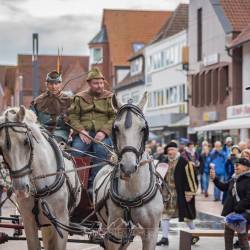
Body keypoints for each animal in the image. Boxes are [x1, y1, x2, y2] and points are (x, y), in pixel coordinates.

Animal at [94, 92, 164, 250]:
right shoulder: (113, 234)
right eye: (116, 128)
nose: (128, 167)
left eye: (143, 129)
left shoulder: (151, 234)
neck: (133, 193)